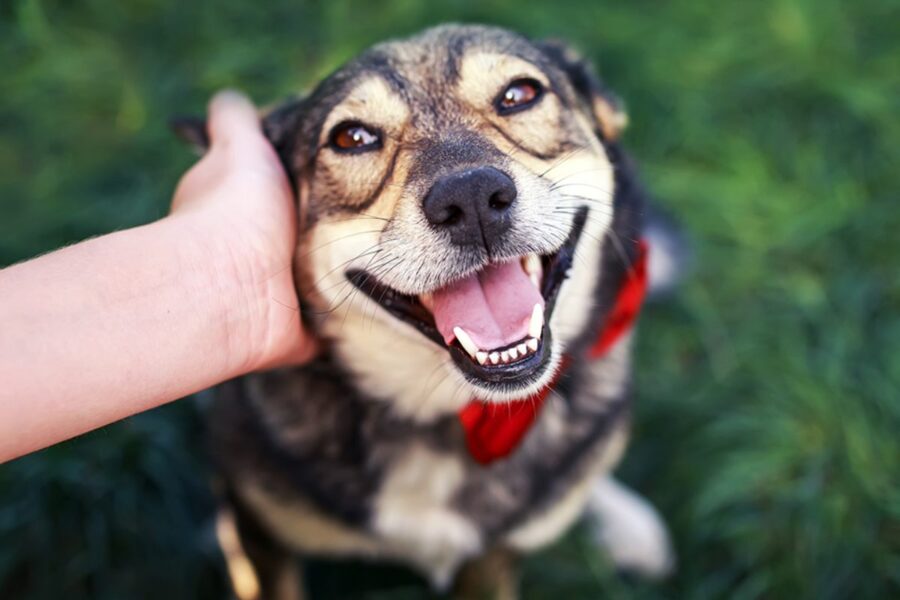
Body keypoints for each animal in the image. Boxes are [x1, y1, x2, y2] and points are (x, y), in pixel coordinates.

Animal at [176, 24, 676, 600]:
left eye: (520, 94)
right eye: (351, 138)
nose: (472, 197)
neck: (441, 413)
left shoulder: (492, 558)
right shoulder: (264, 539)